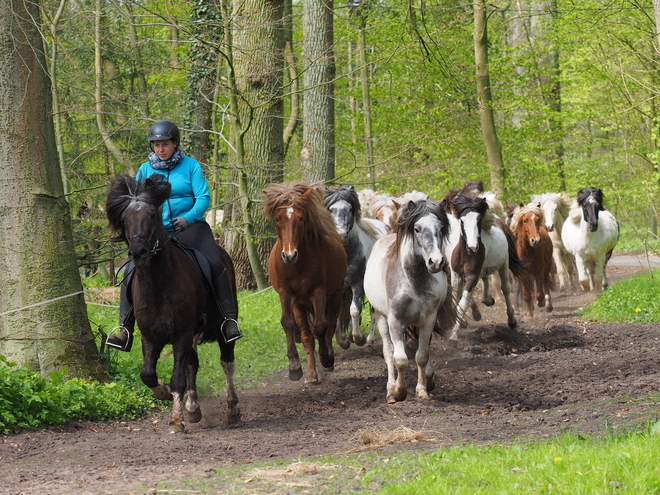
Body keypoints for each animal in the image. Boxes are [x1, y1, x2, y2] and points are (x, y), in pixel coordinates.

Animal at [107, 176, 241, 432]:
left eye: (152, 215)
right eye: (125, 219)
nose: (139, 253)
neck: (159, 286)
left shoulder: (182, 334)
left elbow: (178, 376)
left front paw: (177, 418)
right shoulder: (150, 336)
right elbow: (148, 374)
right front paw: (165, 392)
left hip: (220, 327)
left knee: (227, 362)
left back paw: (232, 410)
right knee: (193, 363)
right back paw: (193, 408)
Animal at [262, 181, 348, 384]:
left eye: (300, 219)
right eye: (277, 219)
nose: (289, 255)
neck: (297, 265)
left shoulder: (319, 293)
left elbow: (321, 327)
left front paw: (326, 357)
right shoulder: (287, 294)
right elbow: (288, 324)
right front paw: (294, 367)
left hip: (334, 295)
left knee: (330, 325)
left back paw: (328, 358)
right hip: (300, 304)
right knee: (307, 335)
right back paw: (311, 374)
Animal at [364, 200, 456, 404]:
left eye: (441, 228)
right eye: (417, 229)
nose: (436, 262)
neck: (414, 281)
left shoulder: (429, 319)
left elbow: (421, 355)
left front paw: (422, 390)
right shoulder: (395, 321)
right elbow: (399, 358)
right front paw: (399, 391)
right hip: (381, 317)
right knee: (388, 352)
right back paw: (390, 388)